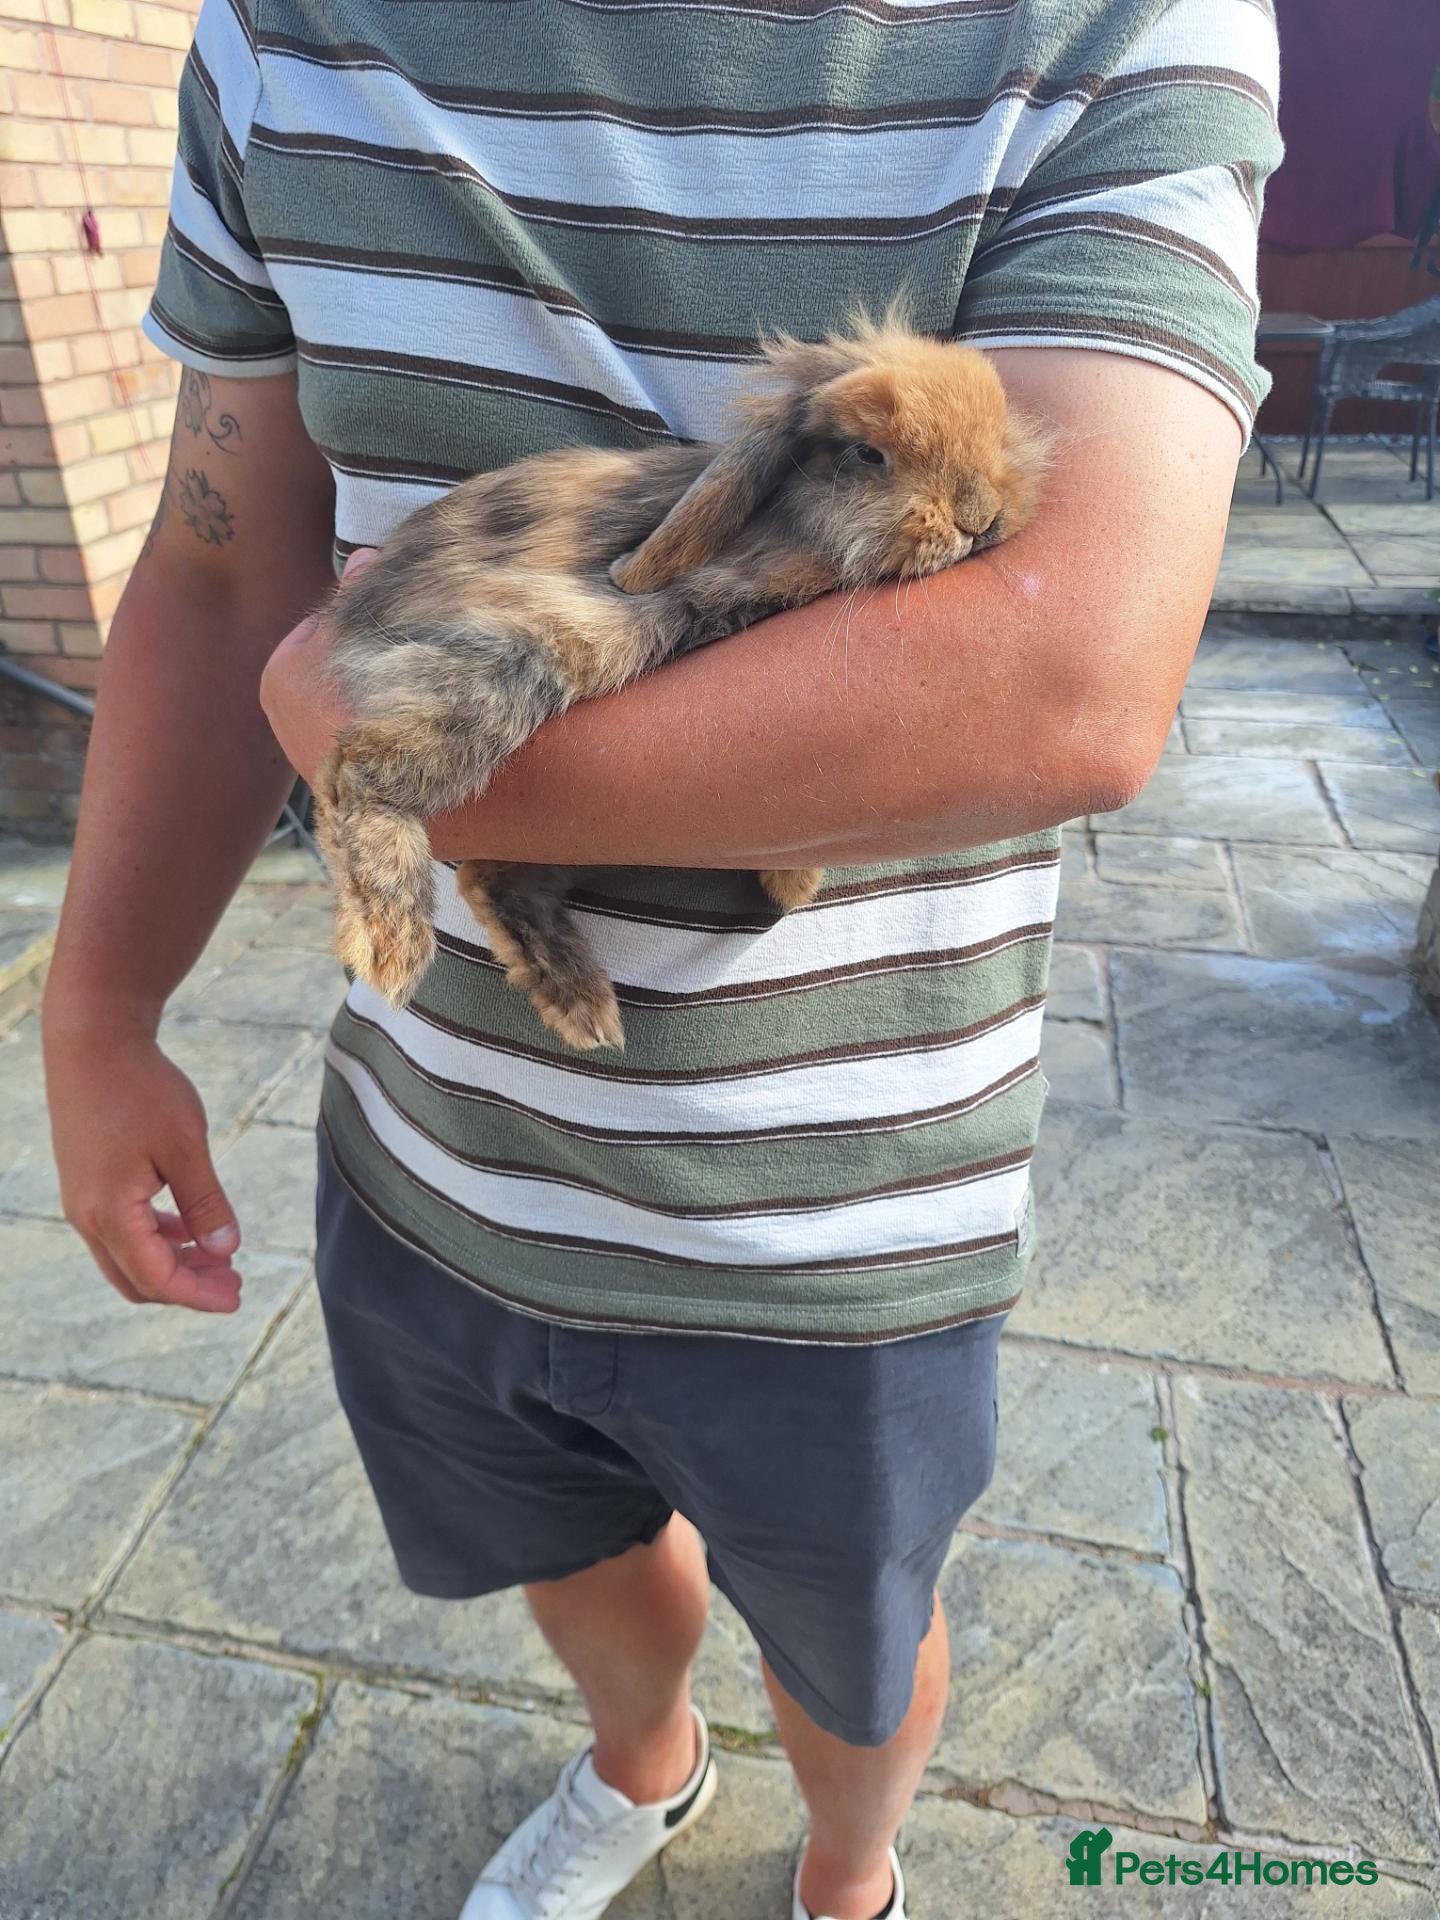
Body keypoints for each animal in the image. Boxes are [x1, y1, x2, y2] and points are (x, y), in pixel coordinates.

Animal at [311, 316, 1048, 1050]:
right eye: (868, 454)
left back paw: (579, 1005)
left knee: (486, 877)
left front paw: (793, 882)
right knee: (357, 773)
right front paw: (793, 881)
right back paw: (391, 948)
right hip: (507, 665)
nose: (979, 515)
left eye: (999, 423)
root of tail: (361, 609)